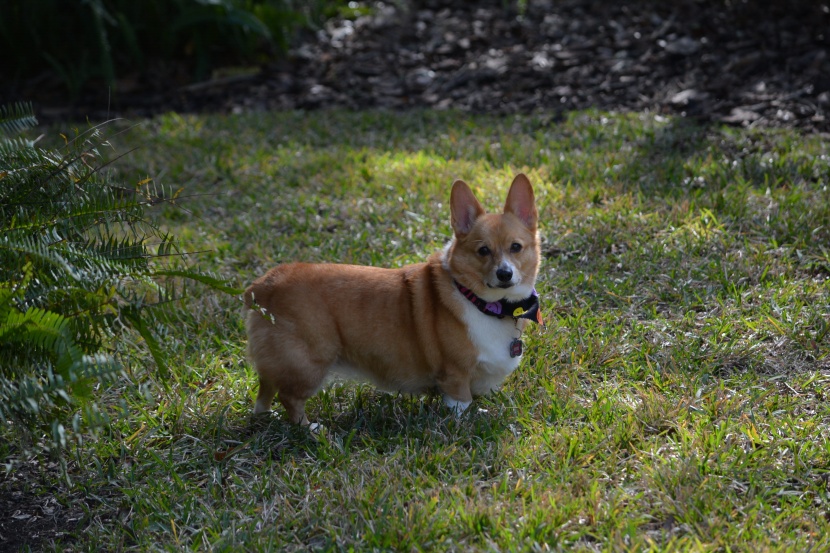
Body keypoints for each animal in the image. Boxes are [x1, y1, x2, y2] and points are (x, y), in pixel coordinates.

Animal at [245, 172, 544, 422]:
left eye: (516, 247)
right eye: (483, 251)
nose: (505, 274)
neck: (482, 302)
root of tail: (264, 285)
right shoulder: (455, 375)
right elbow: (461, 404)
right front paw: (466, 423)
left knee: (265, 387)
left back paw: (265, 416)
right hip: (309, 362)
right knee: (289, 397)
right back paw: (310, 429)